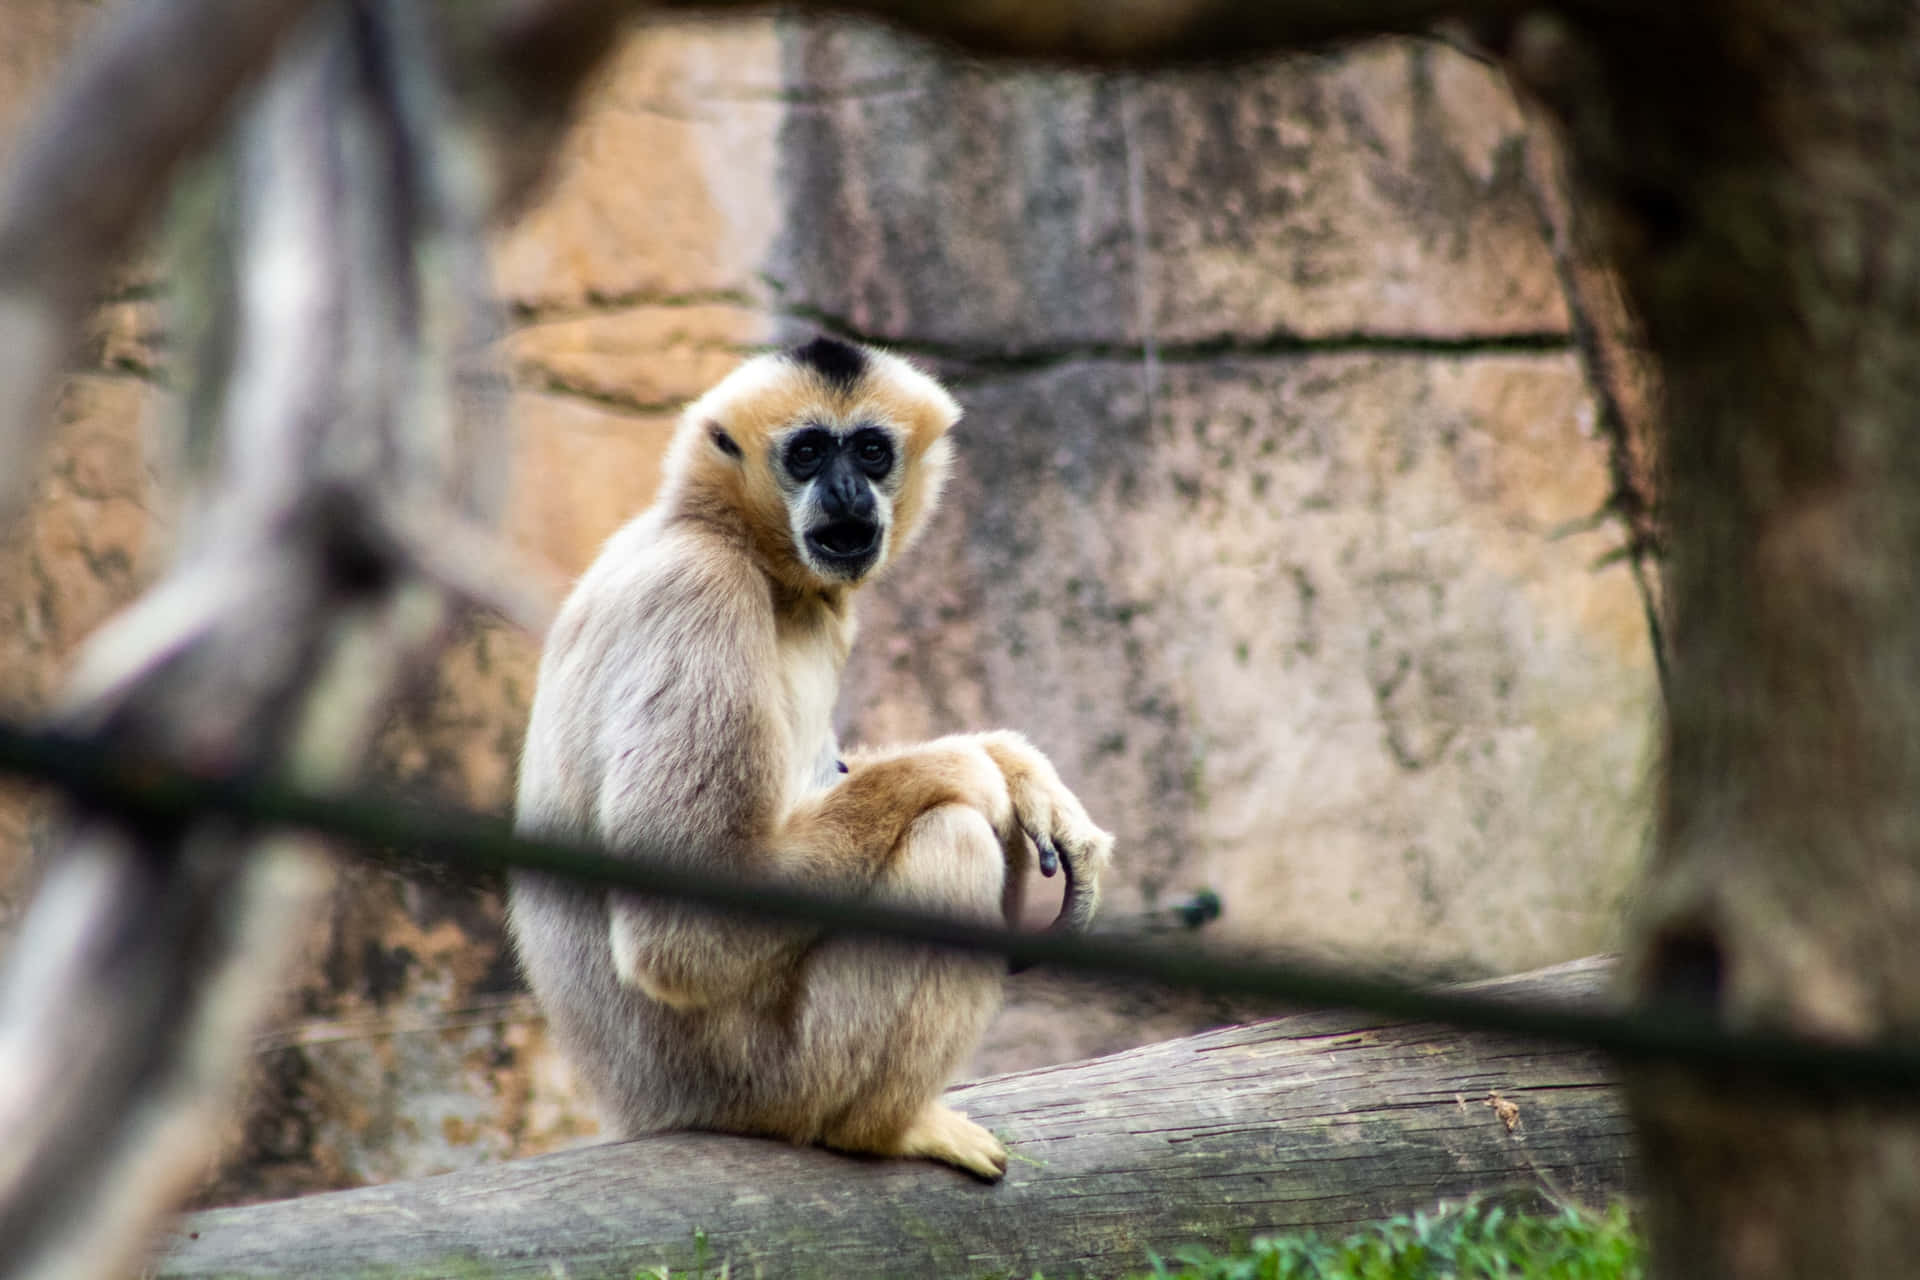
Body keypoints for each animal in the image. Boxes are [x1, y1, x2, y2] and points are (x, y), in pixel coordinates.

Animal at [508, 336, 1114, 1180]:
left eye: (869, 450)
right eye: (806, 453)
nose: (847, 490)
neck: (725, 536)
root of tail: (641, 1109)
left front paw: (1019, 768)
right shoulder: (700, 594)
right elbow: (682, 935)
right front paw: (974, 768)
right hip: (759, 1078)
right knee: (952, 841)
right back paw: (883, 1128)